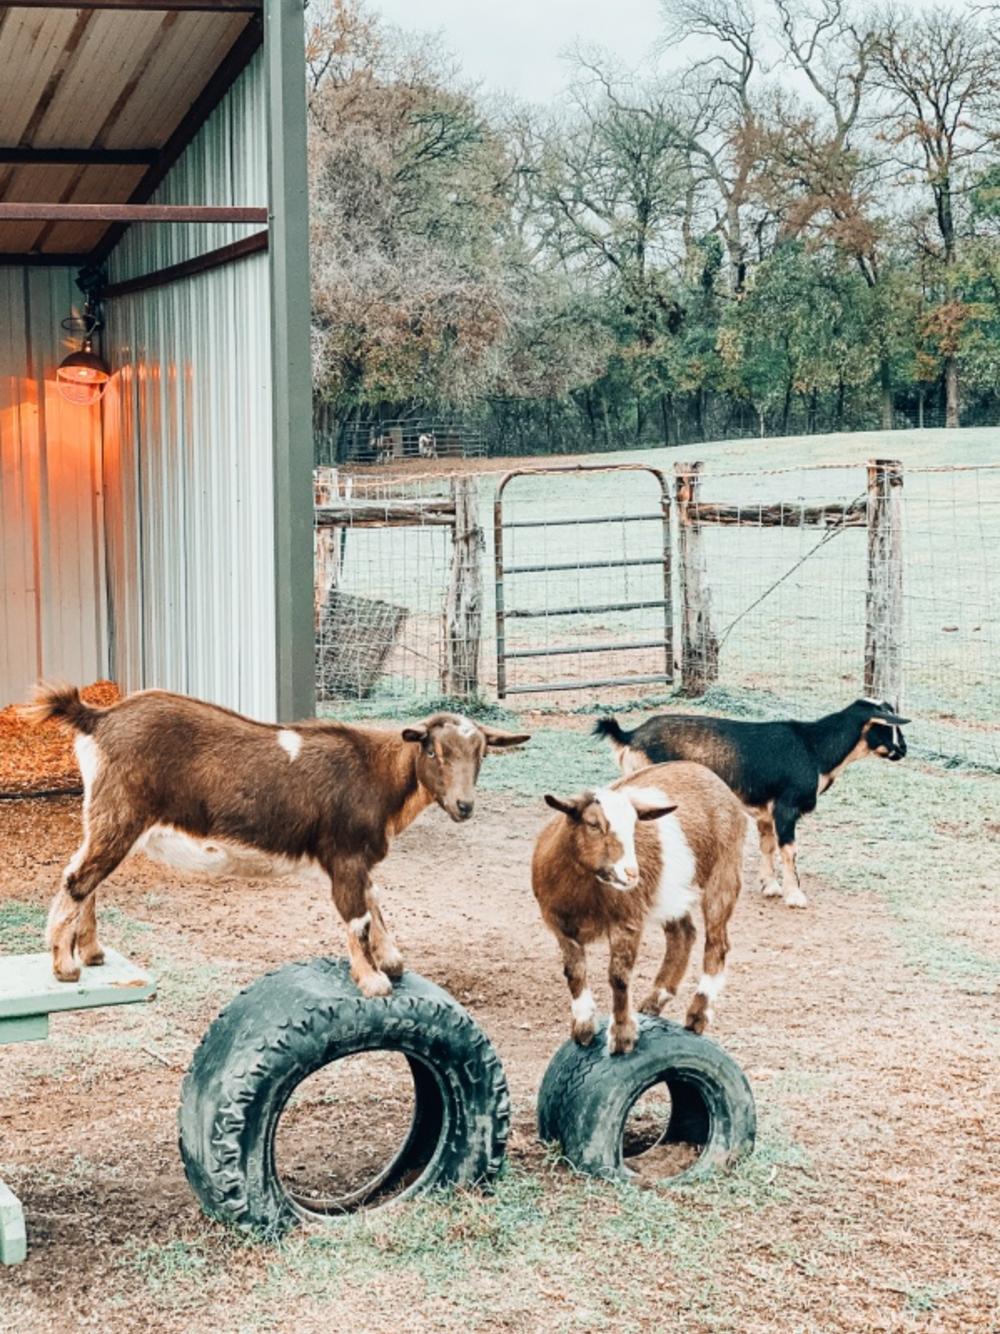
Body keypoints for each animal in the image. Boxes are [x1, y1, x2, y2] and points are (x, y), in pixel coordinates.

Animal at [536, 763, 746, 1051]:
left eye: (634, 826)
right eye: (593, 824)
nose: (631, 874)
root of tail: (710, 775)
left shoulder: (627, 920)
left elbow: (618, 977)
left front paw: (622, 1036)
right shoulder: (560, 926)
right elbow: (574, 973)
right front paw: (583, 1027)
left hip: (724, 872)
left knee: (716, 944)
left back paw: (697, 1015)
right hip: (671, 894)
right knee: (683, 935)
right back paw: (653, 1002)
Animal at [600, 699, 912, 907]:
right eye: (887, 726)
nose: (903, 750)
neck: (814, 748)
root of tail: (630, 735)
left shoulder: (767, 811)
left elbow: (767, 845)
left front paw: (770, 886)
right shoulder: (786, 808)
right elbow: (789, 850)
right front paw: (795, 895)